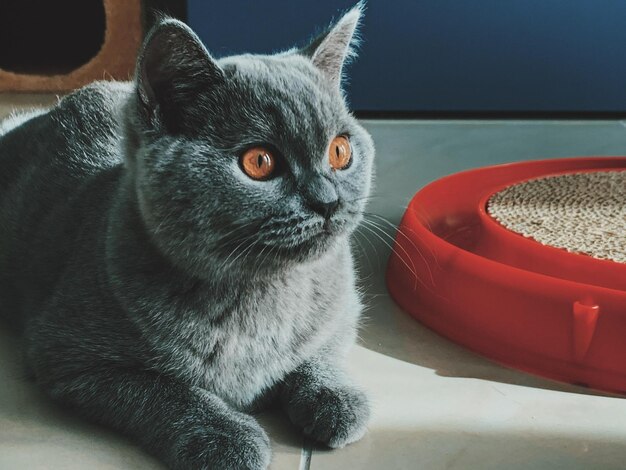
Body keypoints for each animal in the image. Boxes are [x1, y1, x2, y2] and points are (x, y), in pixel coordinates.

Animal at [0, 4, 370, 470]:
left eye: (340, 151)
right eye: (259, 162)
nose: (327, 200)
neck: (259, 294)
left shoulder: (344, 301)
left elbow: (322, 346)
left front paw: (335, 398)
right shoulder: (67, 353)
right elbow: (164, 389)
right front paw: (225, 437)